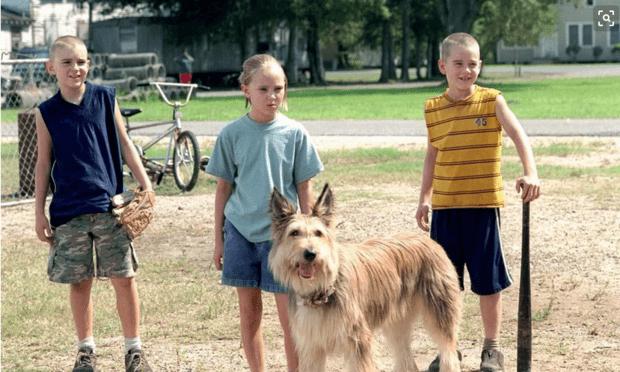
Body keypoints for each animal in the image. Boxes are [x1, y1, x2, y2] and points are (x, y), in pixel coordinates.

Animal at [268, 185, 462, 370]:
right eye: (294, 233)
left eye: (318, 233)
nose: (310, 254)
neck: (322, 289)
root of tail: (429, 240)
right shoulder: (311, 348)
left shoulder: (358, 342)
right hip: (397, 323)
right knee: (407, 362)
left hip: (440, 314)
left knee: (449, 356)